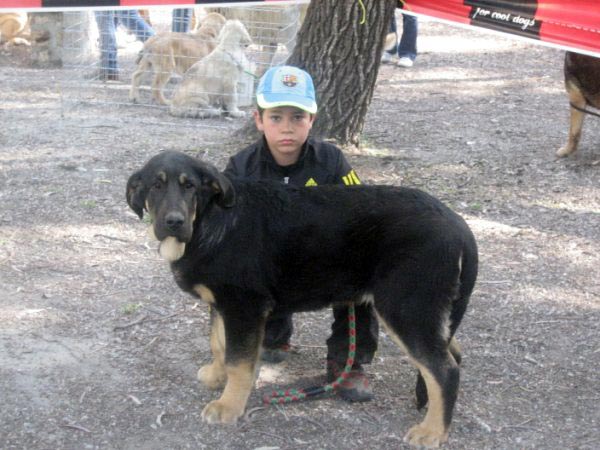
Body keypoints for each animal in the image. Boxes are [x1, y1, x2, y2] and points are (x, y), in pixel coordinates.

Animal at [125, 151, 478, 446]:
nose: (174, 222)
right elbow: (219, 343)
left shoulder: (243, 307)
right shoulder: (224, 305)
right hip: (427, 310)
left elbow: (239, 361)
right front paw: (216, 376)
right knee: (452, 351)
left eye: (190, 187)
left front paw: (228, 405)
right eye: (155, 186)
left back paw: (433, 432)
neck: (210, 222)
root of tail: (457, 222)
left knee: (444, 369)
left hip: (405, 308)